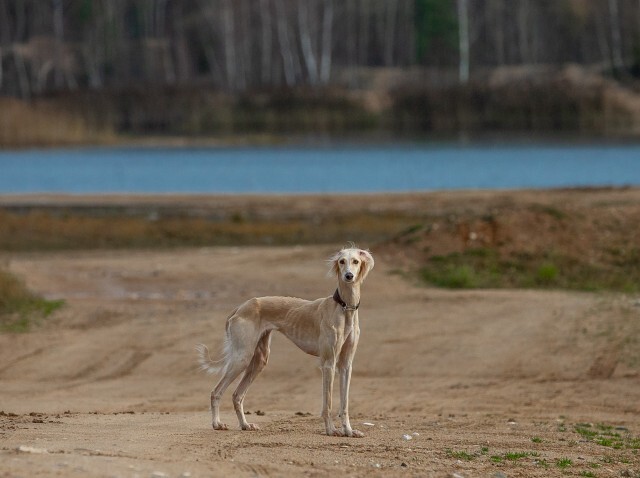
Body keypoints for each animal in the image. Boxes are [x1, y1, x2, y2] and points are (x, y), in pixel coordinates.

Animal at [198, 246, 372, 436]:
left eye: (355, 261)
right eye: (341, 261)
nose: (349, 276)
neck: (343, 307)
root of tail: (241, 306)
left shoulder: (346, 365)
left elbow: (345, 403)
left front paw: (349, 431)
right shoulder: (328, 363)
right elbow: (328, 403)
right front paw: (331, 430)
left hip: (259, 360)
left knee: (237, 395)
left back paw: (245, 425)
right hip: (242, 357)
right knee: (216, 392)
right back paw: (217, 423)